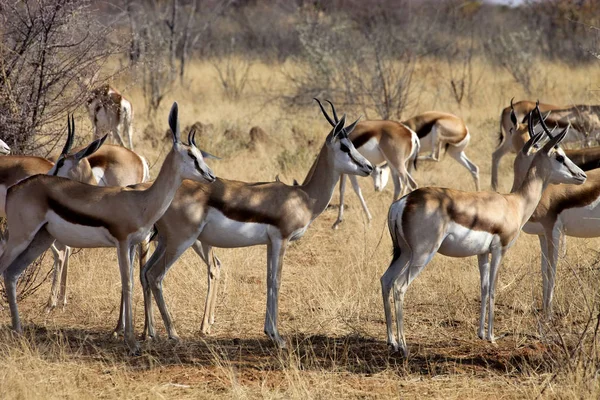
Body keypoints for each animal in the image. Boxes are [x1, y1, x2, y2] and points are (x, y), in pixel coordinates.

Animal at [0, 103, 214, 354]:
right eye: (191, 155)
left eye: (200, 154)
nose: (210, 176)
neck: (140, 201)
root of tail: (16, 187)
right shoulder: (122, 243)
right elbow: (128, 284)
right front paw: (132, 341)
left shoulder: (132, 245)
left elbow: (131, 282)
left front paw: (137, 335)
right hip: (21, 238)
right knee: (4, 268)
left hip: (40, 240)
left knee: (12, 273)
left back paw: (18, 329)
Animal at [141, 100, 372, 346]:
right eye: (345, 147)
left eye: (354, 144)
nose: (369, 167)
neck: (304, 197)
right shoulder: (281, 240)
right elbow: (277, 281)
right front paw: (278, 337)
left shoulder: (270, 243)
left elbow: (269, 280)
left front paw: (269, 332)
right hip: (181, 242)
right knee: (156, 276)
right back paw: (173, 334)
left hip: (165, 242)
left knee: (145, 272)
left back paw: (150, 333)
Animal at [380, 109, 584, 356]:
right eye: (559, 156)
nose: (582, 175)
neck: (514, 203)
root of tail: (404, 202)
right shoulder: (499, 249)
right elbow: (494, 288)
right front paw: (493, 336)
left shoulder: (482, 253)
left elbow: (484, 288)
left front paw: (481, 334)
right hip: (422, 255)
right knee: (400, 286)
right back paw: (404, 346)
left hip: (404, 253)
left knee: (386, 280)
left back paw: (391, 341)